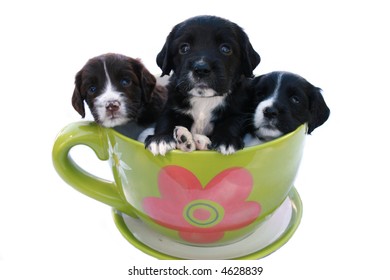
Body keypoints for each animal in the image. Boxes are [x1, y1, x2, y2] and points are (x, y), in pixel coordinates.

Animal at [145, 15, 260, 155]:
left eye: (226, 49)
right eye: (184, 48)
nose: (201, 69)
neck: (204, 99)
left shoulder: (239, 111)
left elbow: (232, 122)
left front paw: (226, 140)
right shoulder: (172, 106)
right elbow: (166, 120)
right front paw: (160, 139)